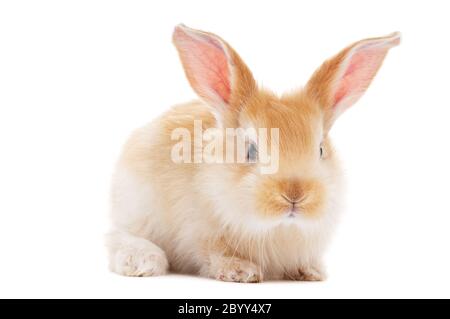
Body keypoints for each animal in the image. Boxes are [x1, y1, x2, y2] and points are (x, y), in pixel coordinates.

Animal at [106, 23, 400, 282]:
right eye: (250, 150)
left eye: (320, 149)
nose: (295, 195)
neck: (278, 227)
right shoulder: (201, 233)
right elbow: (213, 253)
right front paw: (241, 271)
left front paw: (311, 272)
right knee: (116, 237)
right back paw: (142, 261)